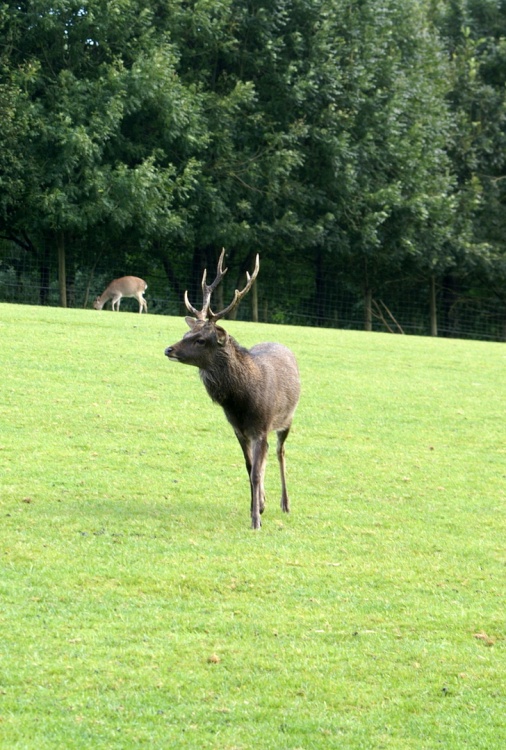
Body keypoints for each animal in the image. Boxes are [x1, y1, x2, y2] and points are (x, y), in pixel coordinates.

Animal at [164, 250, 300, 529]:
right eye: (185, 333)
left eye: (200, 340)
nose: (168, 349)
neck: (241, 402)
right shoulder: (238, 429)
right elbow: (250, 469)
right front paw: (256, 507)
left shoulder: (262, 426)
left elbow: (257, 472)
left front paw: (256, 521)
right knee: (267, 458)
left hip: (287, 419)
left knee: (280, 452)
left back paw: (285, 504)